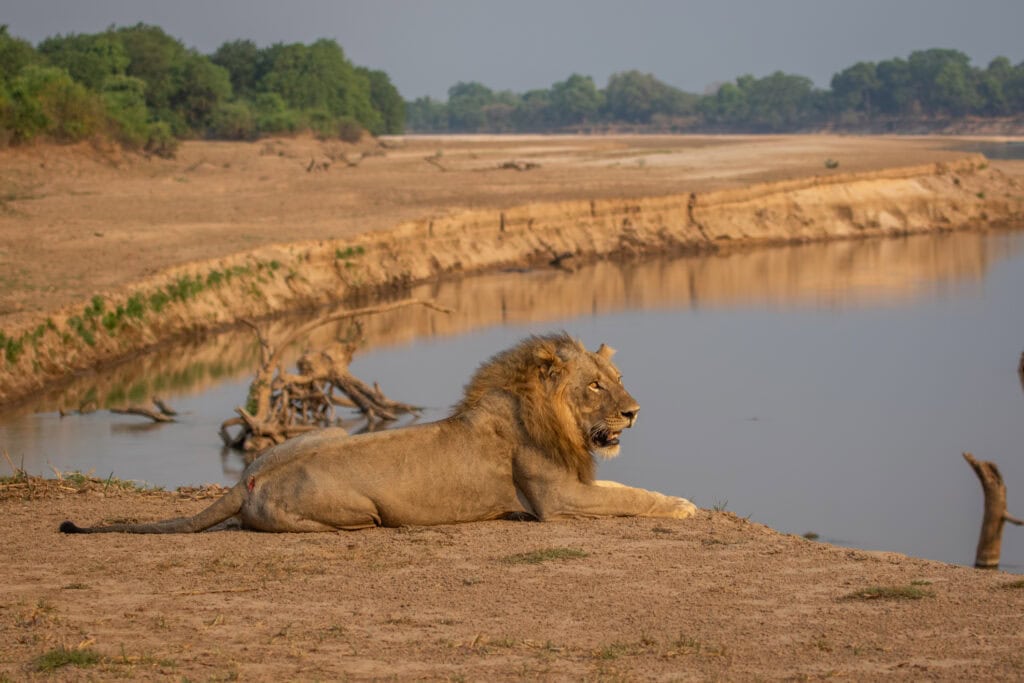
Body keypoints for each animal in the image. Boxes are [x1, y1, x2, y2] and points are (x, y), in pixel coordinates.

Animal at [60, 333, 696, 534]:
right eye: (595, 386)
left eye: (618, 380)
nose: (635, 412)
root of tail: (247, 479)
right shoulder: (556, 499)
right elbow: (635, 497)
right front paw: (686, 506)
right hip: (355, 511)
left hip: (327, 436)